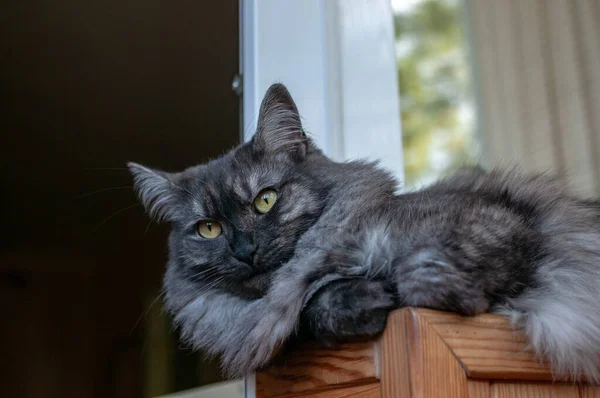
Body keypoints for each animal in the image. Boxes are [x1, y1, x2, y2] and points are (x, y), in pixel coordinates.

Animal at [129, 81, 600, 382]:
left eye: (266, 199)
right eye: (208, 229)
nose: (245, 251)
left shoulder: (495, 218)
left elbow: (421, 268)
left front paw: (425, 292)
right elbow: (311, 306)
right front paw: (363, 300)